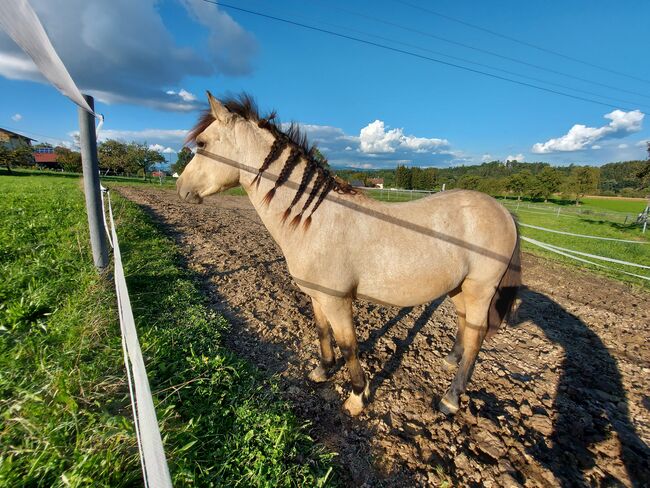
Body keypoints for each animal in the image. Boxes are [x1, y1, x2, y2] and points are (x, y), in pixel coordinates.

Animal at [175, 92, 520, 416]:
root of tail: (503, 211)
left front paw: (356, 396)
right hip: (458, 288)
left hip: (480, 290)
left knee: (476, 337)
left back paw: (451, 398)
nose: (181, 190)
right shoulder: (317, 296)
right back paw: (450, 361)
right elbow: (322, 332)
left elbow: (348, 345)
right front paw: (323, 371)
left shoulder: (337, 300)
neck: (313, 218)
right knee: (464, 325)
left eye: (202, 143)